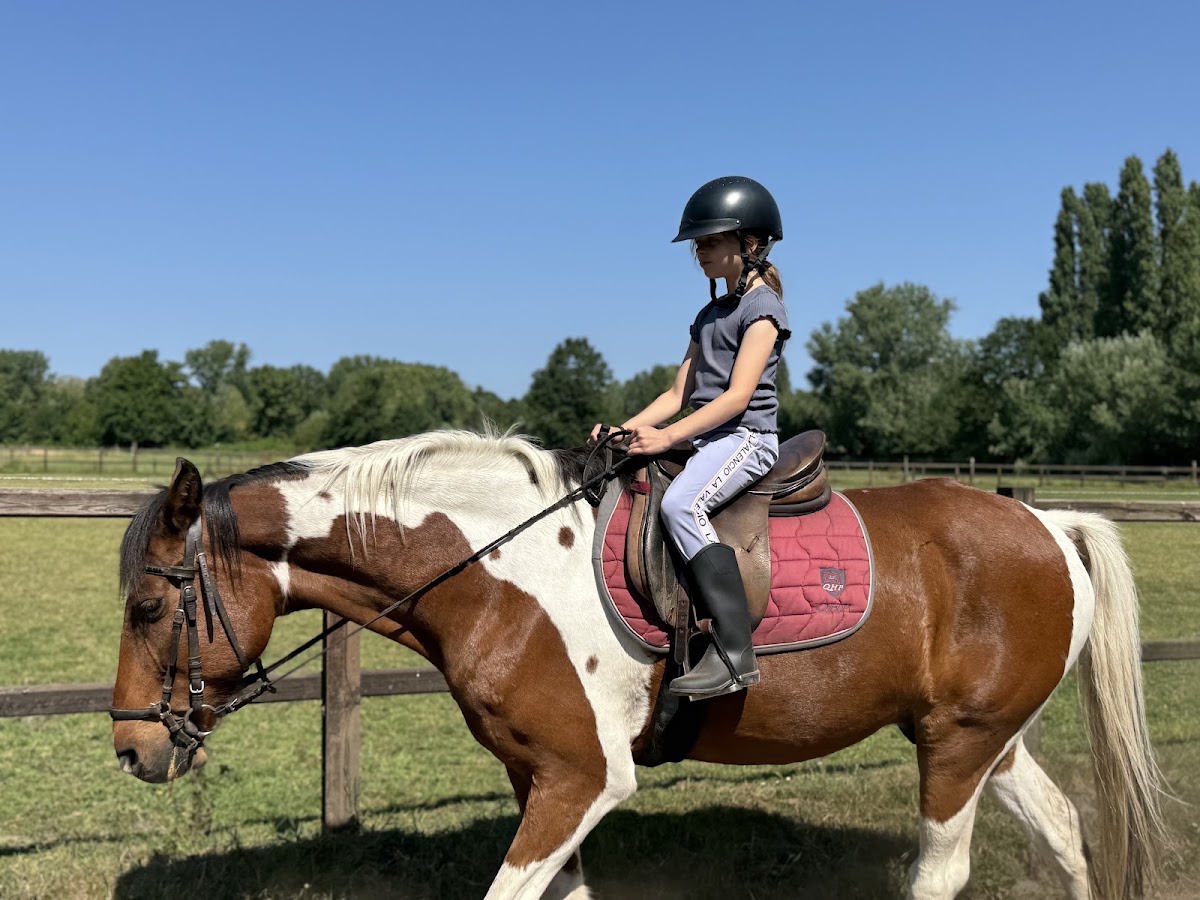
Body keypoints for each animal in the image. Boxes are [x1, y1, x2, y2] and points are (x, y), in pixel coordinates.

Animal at [110, 429, 1169, 899]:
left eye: (149, 606)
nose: (131, 751)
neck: (497, 571)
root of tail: (1049, 524)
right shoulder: (541, 778)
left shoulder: (584, 777)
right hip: (987, 740)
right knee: (1066, 833)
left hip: (956, 748)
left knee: (939, 876)